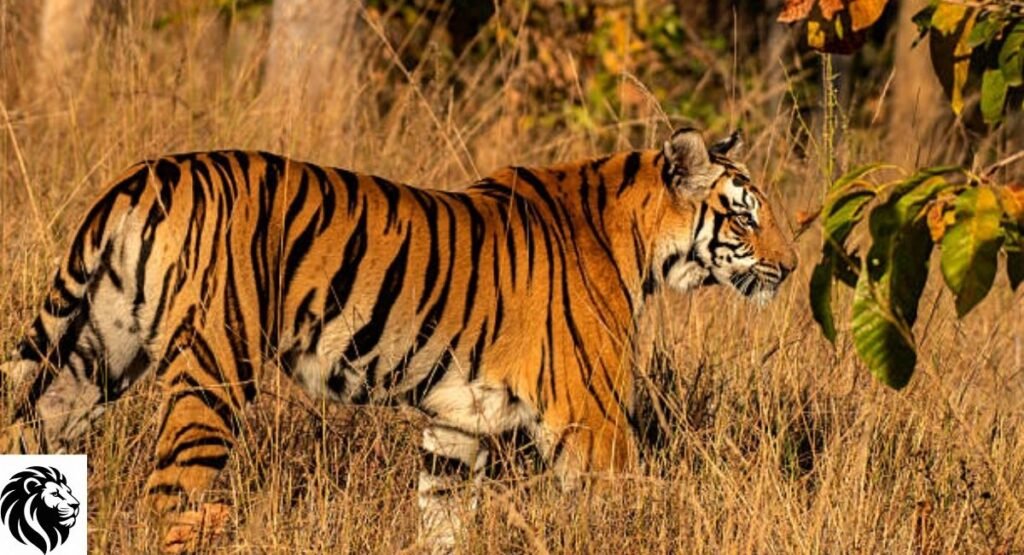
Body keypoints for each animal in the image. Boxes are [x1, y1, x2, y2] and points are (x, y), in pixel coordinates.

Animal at [0, 127, 795, 551]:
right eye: (745, 216)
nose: (791, 267)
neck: (638, 242)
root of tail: (147, 173)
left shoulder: (457, 424)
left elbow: (443, 521)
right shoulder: (593, 421)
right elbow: (624, 514)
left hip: (89, 360)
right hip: (212, 370)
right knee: (172, 493)